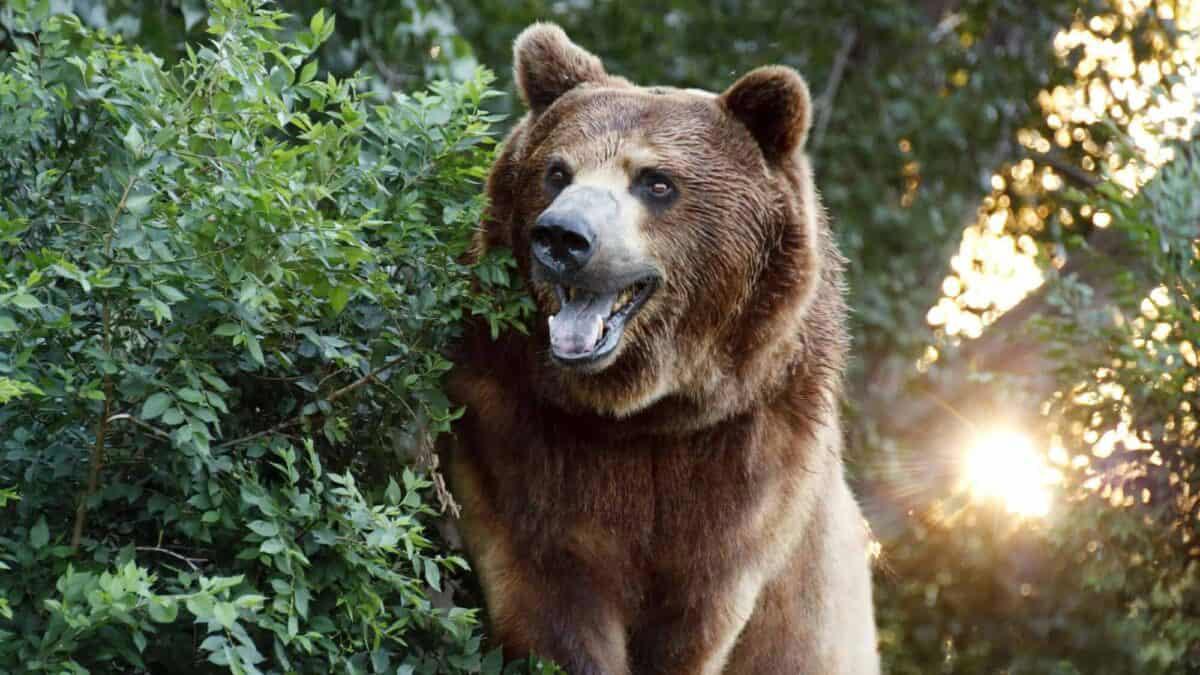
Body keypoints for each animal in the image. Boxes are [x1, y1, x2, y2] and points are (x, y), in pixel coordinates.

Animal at [445, 23, 880, 675]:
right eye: (557, 172)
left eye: (655, 181)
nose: (563, 237)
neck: (646, 412)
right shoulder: (517, 437)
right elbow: (552, 598)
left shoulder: (747, 468)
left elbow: (691, 619)